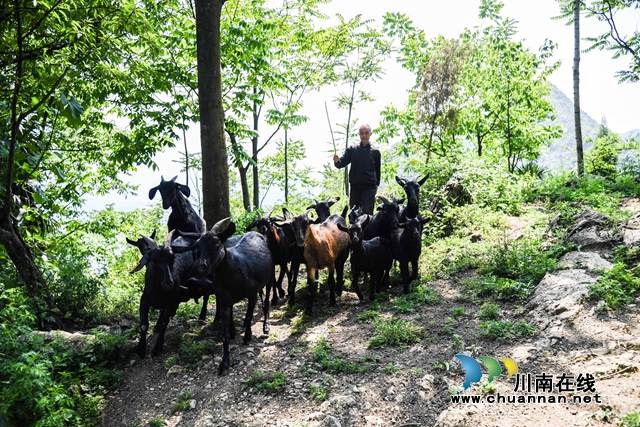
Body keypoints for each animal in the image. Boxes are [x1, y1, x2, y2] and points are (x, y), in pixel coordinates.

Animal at [174, 219, 274, 376]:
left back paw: (266, 326)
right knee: (262, 297)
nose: (202, 266)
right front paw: (224, 363)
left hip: (269, 277)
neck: (233, 274)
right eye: (198, 246)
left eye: (216, 243)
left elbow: (250, 315)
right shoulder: (224, 301)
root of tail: (257, 233)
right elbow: (225, 334)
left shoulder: (251, 294)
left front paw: (247, 336)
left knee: (267, 299)